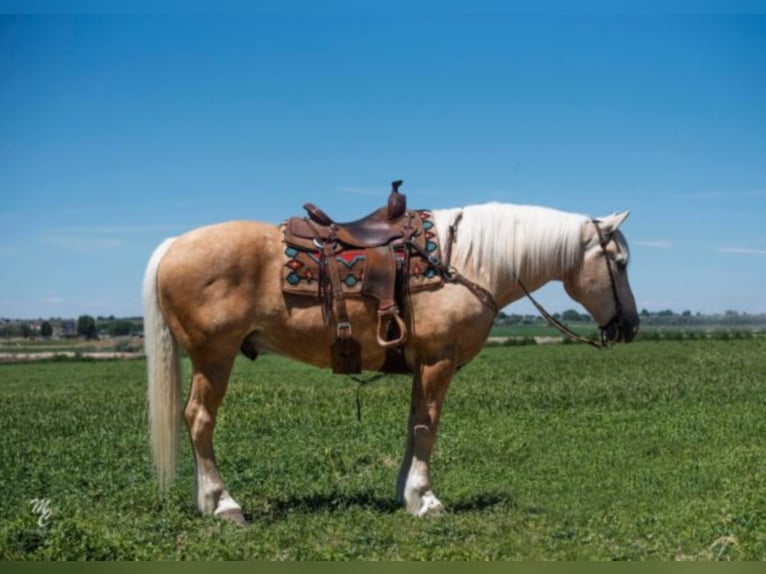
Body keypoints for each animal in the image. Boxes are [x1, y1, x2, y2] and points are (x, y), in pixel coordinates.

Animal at [144, 202, 640, 528]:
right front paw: (426, 499)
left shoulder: (423, 365)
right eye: (620, 261)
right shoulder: (439, 361)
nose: (631, 326)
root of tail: (172, 245)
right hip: (214, 357)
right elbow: (427, 428)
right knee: (200, 419)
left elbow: (413, 424)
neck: (464, 261)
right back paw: (223, 503)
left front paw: (407, 492)